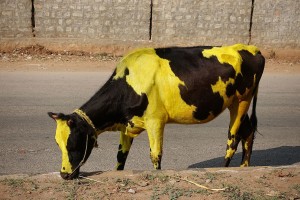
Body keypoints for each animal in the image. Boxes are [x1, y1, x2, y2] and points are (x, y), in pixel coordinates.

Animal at [48, 43, 264, 180]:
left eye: (73, 143)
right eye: (57, 143)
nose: (64, 174)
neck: (130, 82)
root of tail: (252, 49)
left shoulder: (155, 121)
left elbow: (155, 156)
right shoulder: (127, 126)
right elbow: (120, 158)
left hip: (241, 101)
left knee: (233, 139)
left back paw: (225, 170)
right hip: (238, 103)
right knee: (248, 132)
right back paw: (244, 168)